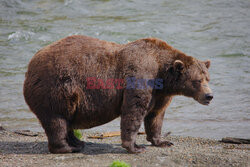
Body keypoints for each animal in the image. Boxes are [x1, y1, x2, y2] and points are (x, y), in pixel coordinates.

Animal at [23, 35, 213, 154]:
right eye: (197, 80)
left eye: (208, 78)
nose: (209, 96)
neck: (163, 75)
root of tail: (30, 65)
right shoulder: (141, 75)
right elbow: (134, 110)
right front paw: (135, 147)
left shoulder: (160, 94)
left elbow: (156, 116)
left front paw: (162, 141)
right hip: (57, 87)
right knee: (57, 119)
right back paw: (67, 147)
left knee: (67, 118)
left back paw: (77, 142)